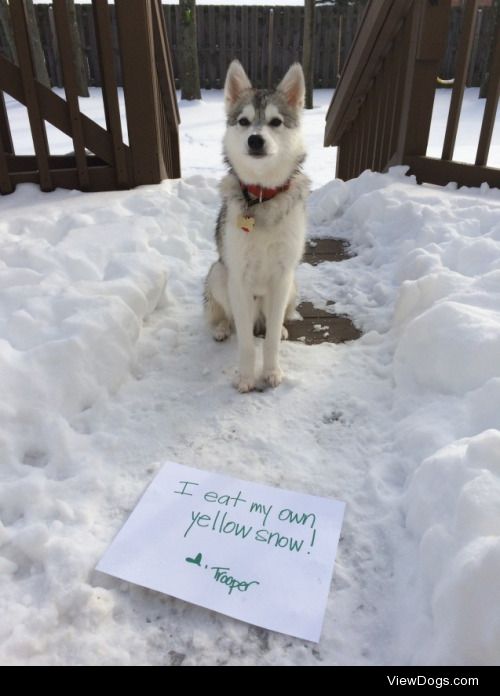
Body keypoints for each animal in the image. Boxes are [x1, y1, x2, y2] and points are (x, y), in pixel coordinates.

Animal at [203, 59, 308, 392]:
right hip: (218, 273)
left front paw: (271, 371)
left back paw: (284, 328)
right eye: (244, 121)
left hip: (293, 285)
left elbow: (270, 338)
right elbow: (248, 342)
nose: (255, 139)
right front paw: (247, 377)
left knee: (277, 319)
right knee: (227, 317)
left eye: (275, 122)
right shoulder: (238, 278)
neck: (261, 196)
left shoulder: (282, 276)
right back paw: (222, 328)